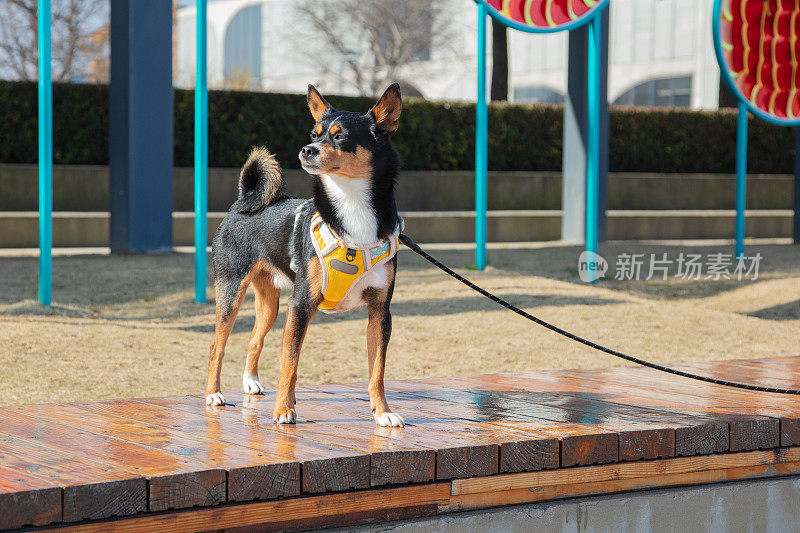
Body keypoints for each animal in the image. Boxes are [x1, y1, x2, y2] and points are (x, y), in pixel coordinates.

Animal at [206, 83, 406, 426]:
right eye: (314, 134)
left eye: (339, 136)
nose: (306, 150)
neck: (351, 206)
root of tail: (243, 201)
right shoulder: (300, 305)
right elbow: (290, 363)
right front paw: (283, 409)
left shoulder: (380, 312)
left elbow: (377, 370)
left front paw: (382, 412)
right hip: (231, 293)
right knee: (217, 346)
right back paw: (213, 394)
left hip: (270, 304)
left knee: (254, 338)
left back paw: (250, 382)